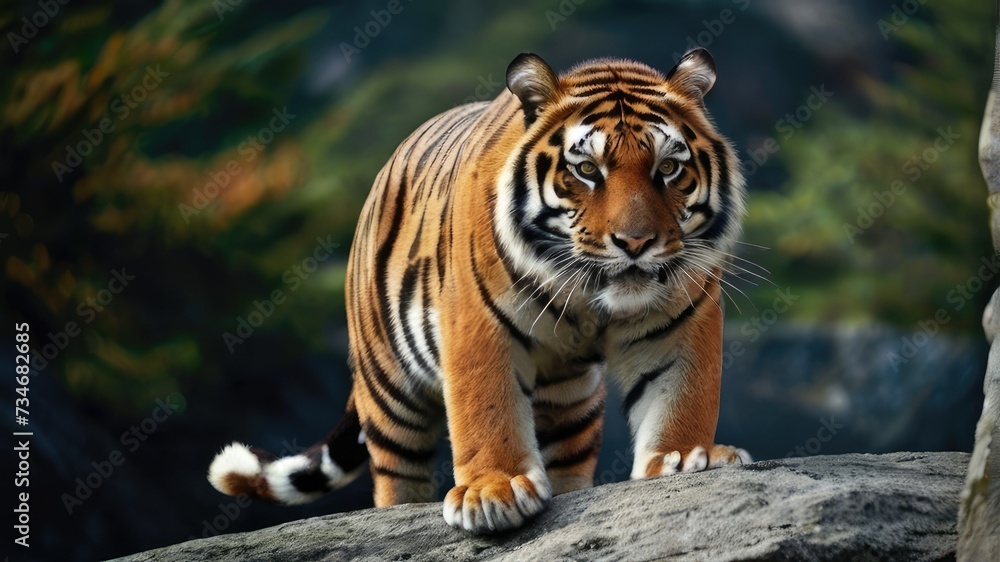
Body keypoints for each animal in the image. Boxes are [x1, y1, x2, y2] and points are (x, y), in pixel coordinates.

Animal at [208, 48, 751, 534]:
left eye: (668, 168)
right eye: (587, 171)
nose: (636, 243)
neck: (588, 300)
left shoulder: (682, 320)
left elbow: (682, 393)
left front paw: (687, 457)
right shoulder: (479, 323)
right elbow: (487, 405)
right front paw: (494, 491)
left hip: (570, 405)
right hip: (390, 394)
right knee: (396, 476)